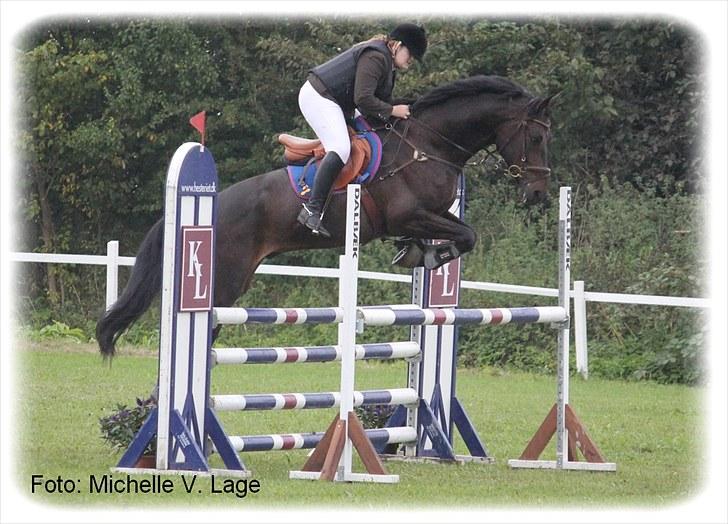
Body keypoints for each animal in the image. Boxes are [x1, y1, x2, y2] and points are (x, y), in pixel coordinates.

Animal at [95, 75, 552, 358]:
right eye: (535, 136)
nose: (538, 192)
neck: (427, 145)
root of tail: (215, 201)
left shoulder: (432, 214)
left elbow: (462, 233)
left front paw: (417, 253)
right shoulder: (411, 214)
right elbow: (467, 235)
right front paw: (431, 256)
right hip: (223, 283)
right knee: (204, 331)